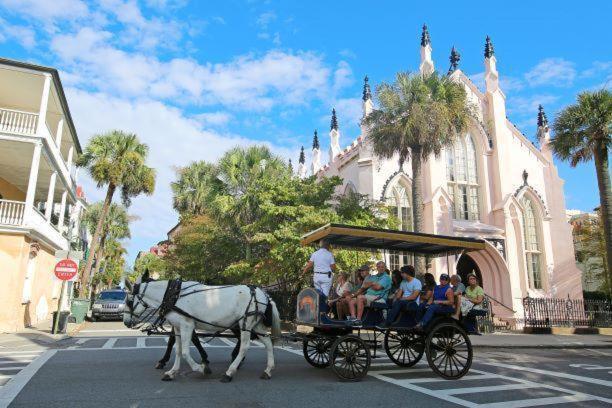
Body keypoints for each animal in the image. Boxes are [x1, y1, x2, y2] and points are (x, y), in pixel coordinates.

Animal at [124, 274, 282, 382]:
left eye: (129, 301)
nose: (126, 322)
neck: (173, 295)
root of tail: (264, 294)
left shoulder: (187, 325)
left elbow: (186, 352)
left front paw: (202, 368)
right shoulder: (178, 327)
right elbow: (178, 350)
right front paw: (172, 372)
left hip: (246, 324)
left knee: (245, 346)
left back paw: (229, 372)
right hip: (257, 325)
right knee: (268, 343)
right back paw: (268, 370)